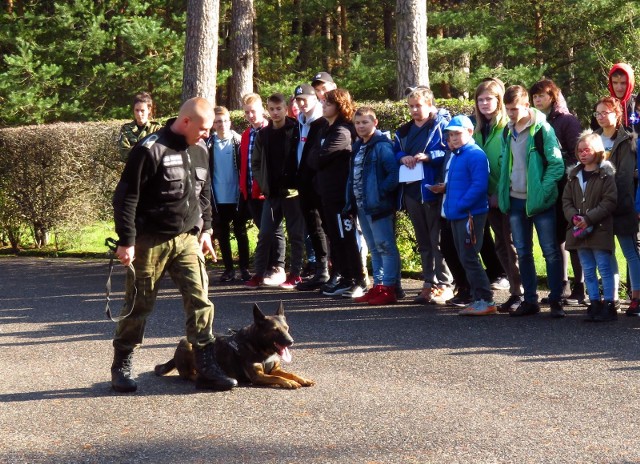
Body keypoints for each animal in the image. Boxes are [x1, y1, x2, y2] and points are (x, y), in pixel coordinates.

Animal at [155, 300, 316, 388]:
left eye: (287, 328)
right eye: (275, 330)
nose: (291, 342)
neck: (260, 348)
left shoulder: (274, 369)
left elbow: (290, 374)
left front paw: (302, 379)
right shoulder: (258, 376)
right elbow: (278, 378)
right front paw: (289, 382)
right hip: (188, 346)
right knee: (188, 374)